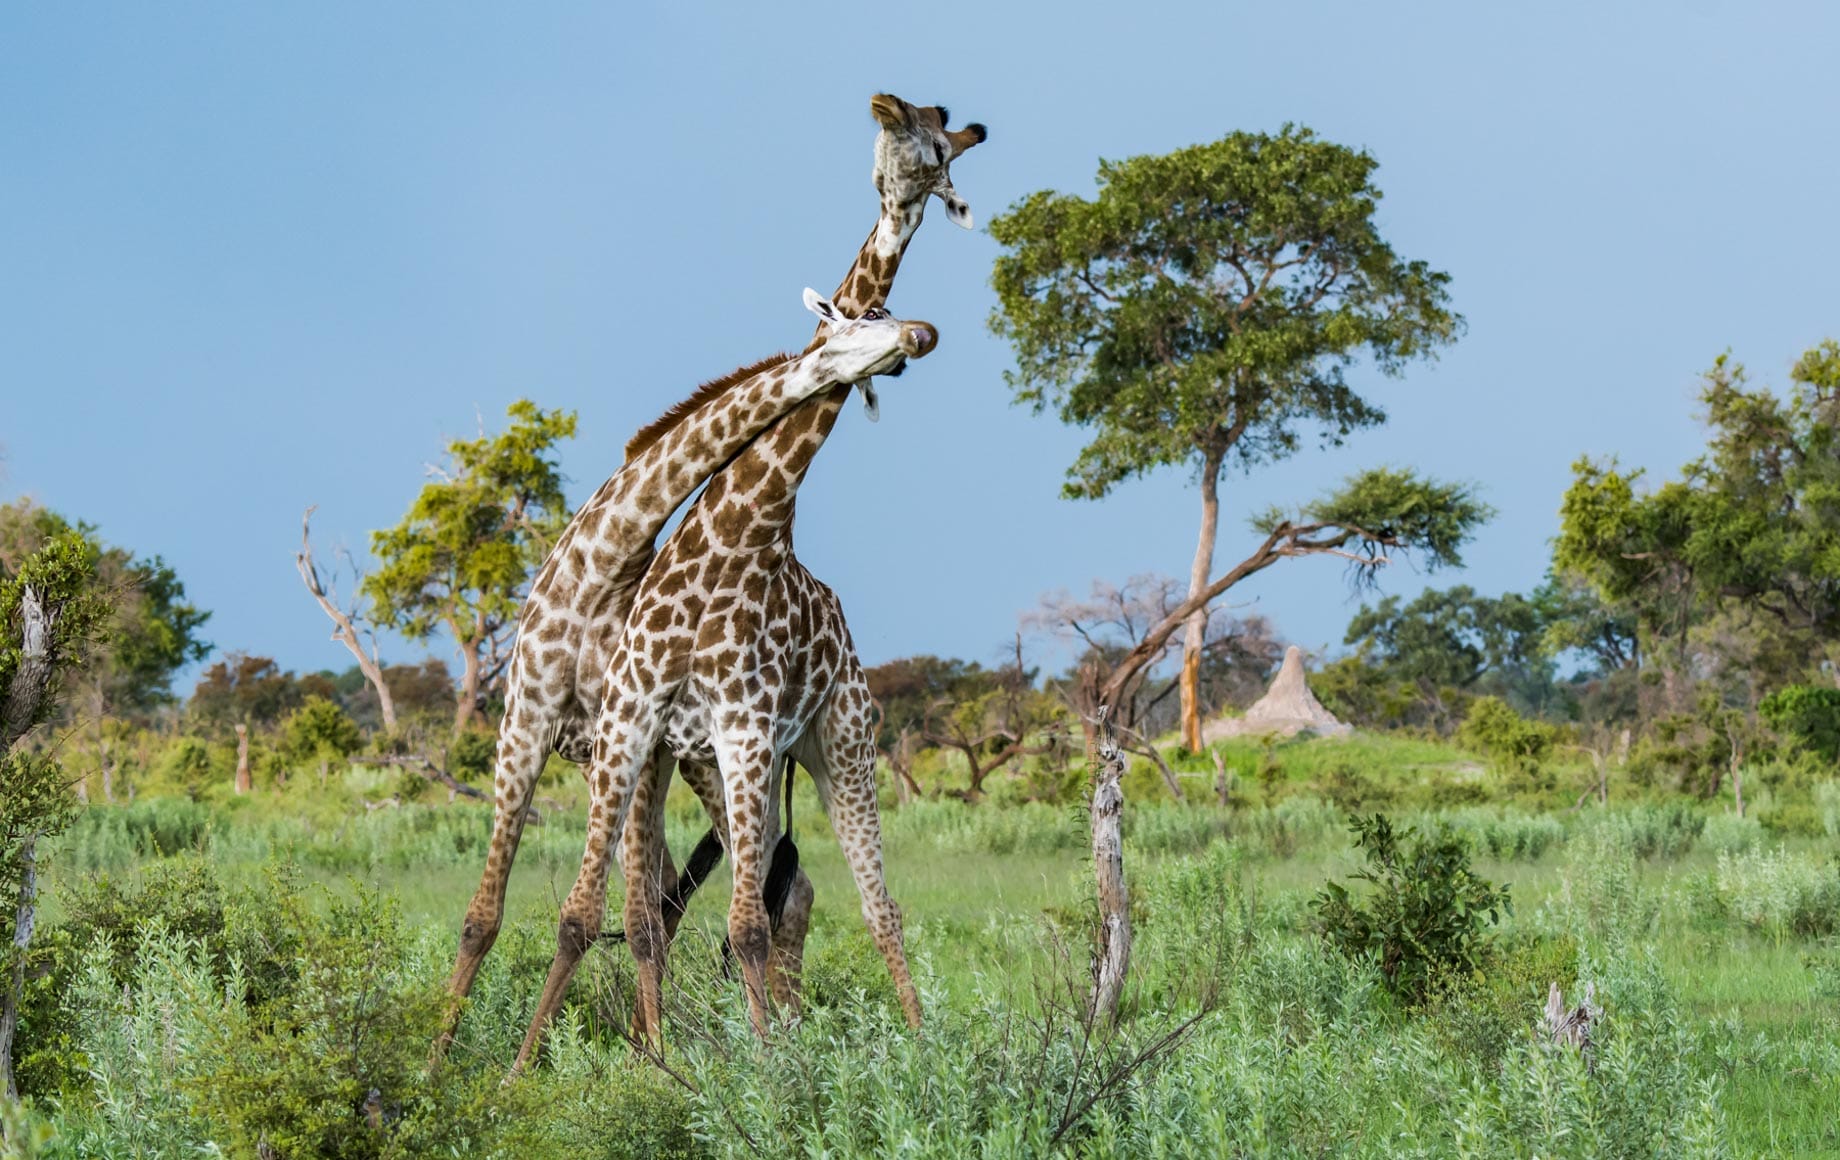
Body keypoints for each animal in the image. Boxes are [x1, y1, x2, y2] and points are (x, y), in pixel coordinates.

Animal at [438, 93, 985, 1055]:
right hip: (700, 762)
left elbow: (635, 913)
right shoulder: (543, 725)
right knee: (716, 893)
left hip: (801, 748)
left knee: (803, 896)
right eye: (922, 133)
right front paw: (447, 1059)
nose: (920, 334)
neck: (606, 557)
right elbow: (495, 914)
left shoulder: (658, 740)